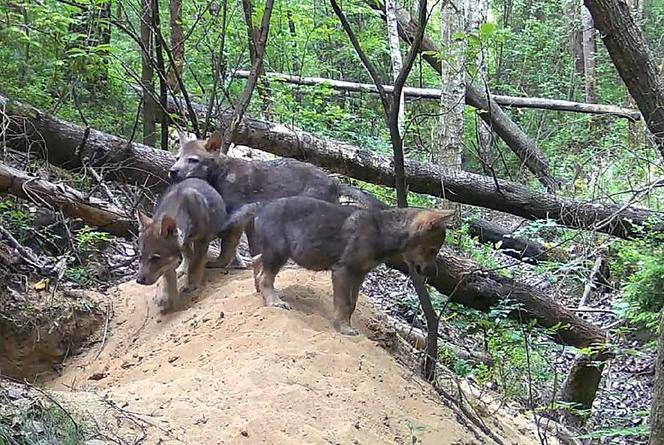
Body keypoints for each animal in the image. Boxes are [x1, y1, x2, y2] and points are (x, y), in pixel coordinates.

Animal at [136, 177, 227, 312]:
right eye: (140, 256)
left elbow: (195, 264)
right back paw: (182, 269)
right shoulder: (171, 257)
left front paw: (191, 284)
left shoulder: (202, 240)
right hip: (186, 243)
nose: (139, 280)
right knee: (187, 254)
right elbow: (167, 276)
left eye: (156, 258)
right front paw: (165, 297)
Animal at [167, 129, 384, 268]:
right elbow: (250, 249)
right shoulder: (247, 219)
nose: (172, 171)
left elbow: (227, 246)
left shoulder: (237, 216)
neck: (221, 175)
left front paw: (220, 264)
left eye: (193, 160)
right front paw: (244, 265)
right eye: (178, 158)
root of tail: (334, 182)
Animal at [220, 196, 454, 334]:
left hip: (276, 251)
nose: (431, 273)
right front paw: (343, 328)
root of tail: (262, 205)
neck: (383, 231)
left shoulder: (359, 274)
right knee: (265, 277)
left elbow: (352, 304)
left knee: (257, 262)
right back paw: (274, 301)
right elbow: (344, 303)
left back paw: (259, 292)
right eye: (433, 250)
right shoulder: (343, 271)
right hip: (279, 251)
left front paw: (345, 324)